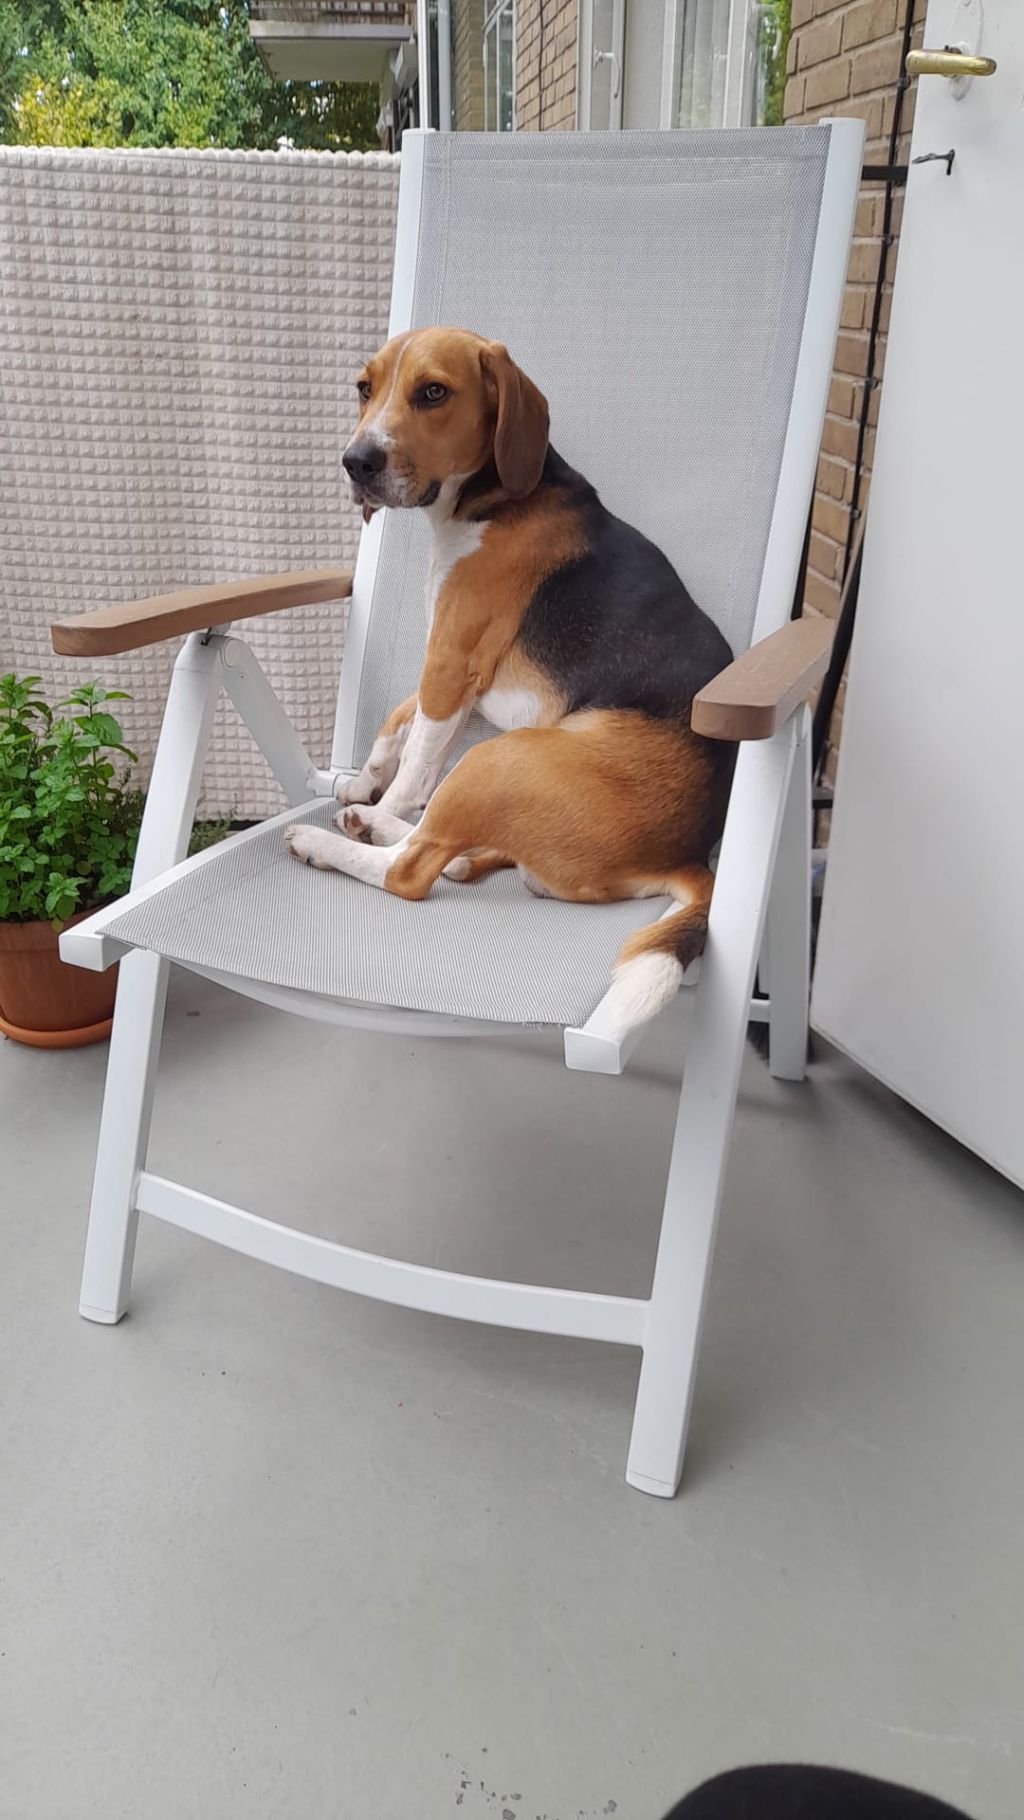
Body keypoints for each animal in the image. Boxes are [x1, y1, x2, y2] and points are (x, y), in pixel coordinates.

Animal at [285, 327, 735, 1039]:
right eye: (364, 388)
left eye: (432, 392)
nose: (355, 462)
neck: (489, 498)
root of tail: (687, 855)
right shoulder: (460, 678)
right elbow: (400, 720)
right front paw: (363, 780)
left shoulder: (451, 658)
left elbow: (416, 765)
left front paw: (382, 800)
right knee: (448, 849)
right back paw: (402, 833)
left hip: (499, 759)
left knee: (410, 869)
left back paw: (334, 838)